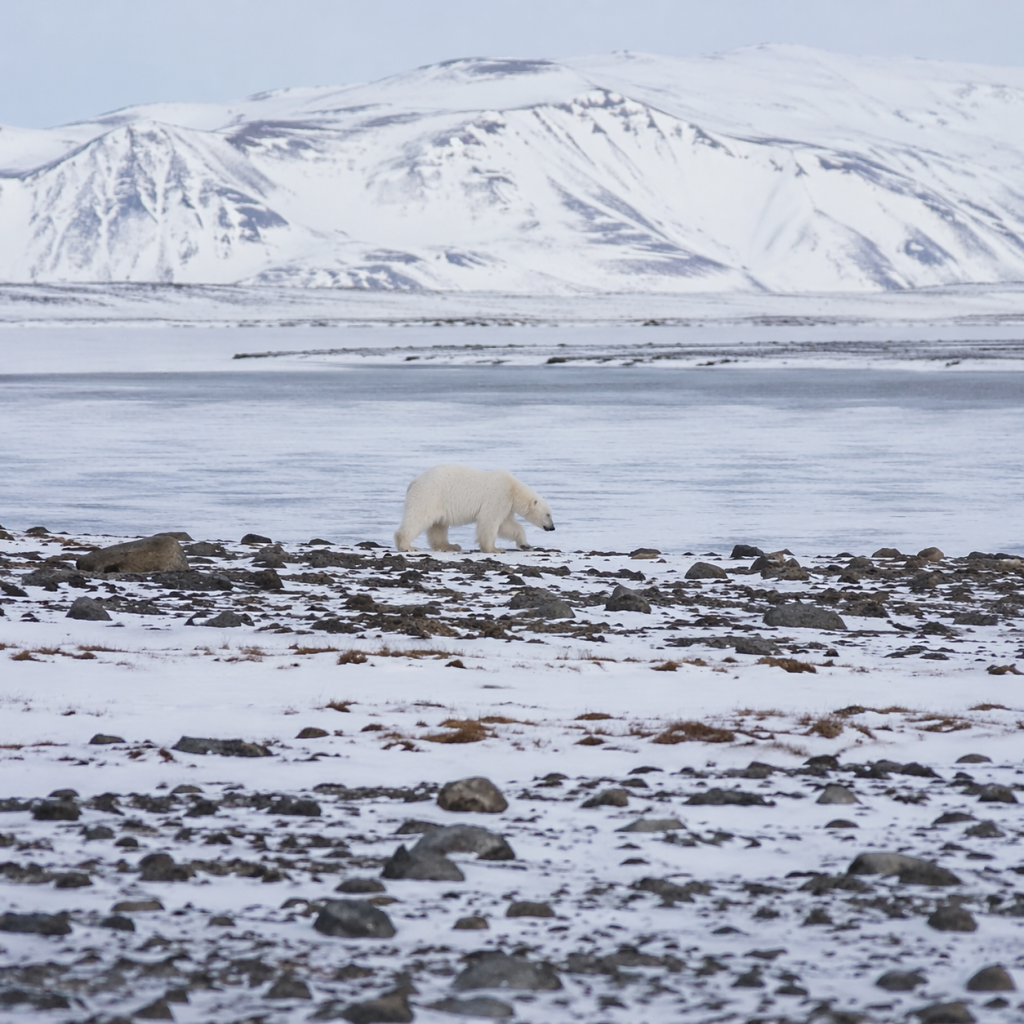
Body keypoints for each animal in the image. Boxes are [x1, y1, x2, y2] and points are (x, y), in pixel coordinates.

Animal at [394, 464, 555, 554]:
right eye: (548, 515)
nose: (552, 528)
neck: (512, 488)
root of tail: (414, 481)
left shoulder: (506, 505)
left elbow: (507, 526)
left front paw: (525, 544)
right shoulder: (498, 497)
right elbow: (490, 522)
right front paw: (494, 549)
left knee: (438, 525)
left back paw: (451, 546)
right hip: (430, 496)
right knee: (418, 518)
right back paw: (407, 545)